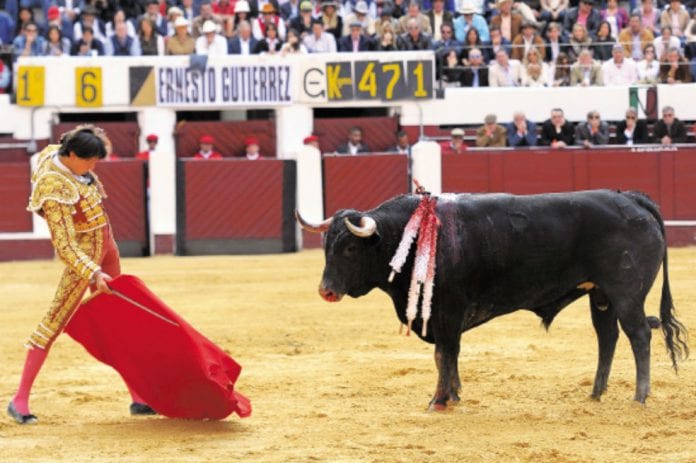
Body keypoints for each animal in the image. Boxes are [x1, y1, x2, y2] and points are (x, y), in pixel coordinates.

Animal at [296, 188, 688, 410]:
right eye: (326, 247)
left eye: (349, 248)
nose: (325, 291)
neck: (407, 236)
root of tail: (632, 200)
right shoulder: (441, 316)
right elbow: (446, 357)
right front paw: (453, 395)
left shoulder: (447, 311)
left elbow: (445, 354)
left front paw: (439, 400)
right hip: (600, 294)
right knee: (607, 337)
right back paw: (595, 393)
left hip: (625, 293)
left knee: (639, 335)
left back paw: (639, 397)